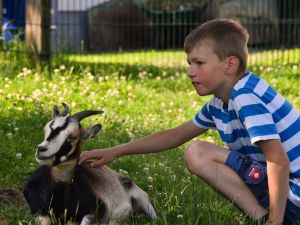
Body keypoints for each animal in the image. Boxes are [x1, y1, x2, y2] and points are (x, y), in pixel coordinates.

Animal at [23, 103, 157, 225]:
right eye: (45, 129)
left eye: (72, 136)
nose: (41, 150)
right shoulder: (38, 210)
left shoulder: (94, 212)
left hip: (143, 199)